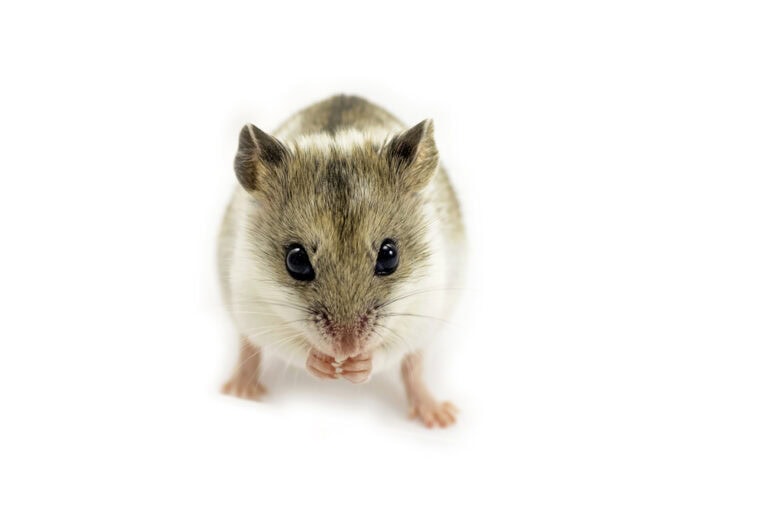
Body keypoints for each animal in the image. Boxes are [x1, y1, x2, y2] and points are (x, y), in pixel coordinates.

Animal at [218, 95, 465, 428]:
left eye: (390, 256)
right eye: (296, 261)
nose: (347, 349)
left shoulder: (424, 309)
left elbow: (391, 351)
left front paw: (355, 367)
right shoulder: (254, 304)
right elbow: (290, 346)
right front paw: (327, 366)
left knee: (413, 364)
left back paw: (439, 416)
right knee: (248, 345)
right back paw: (240, 391)